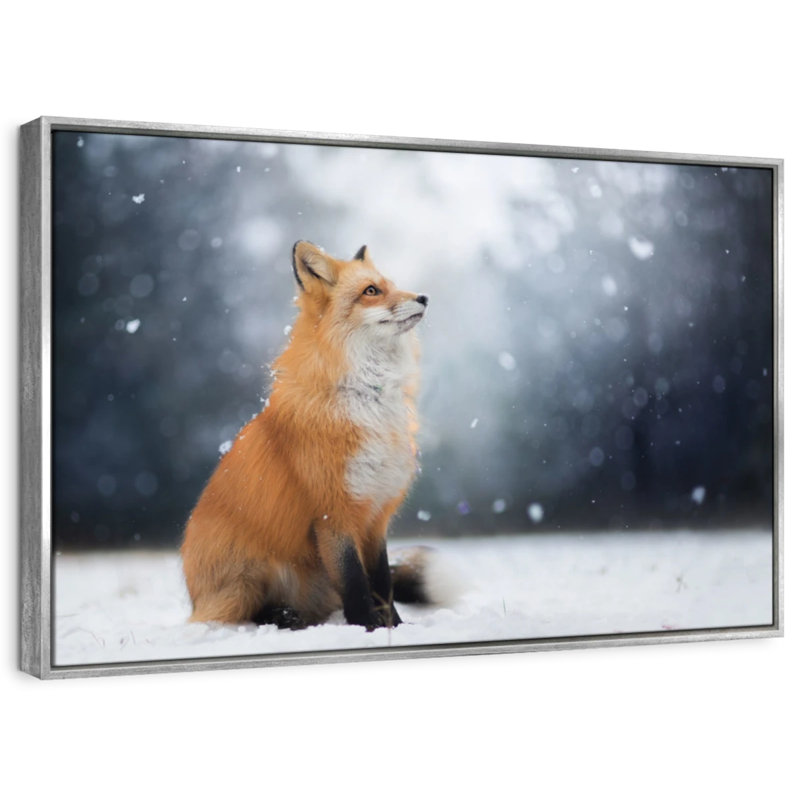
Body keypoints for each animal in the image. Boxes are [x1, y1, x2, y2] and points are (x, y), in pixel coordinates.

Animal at [181, 241, 430, 630]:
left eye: (391, 285)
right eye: (371, 291)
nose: (423, 297)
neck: (367, 397)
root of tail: (194, 598)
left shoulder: (375, 515)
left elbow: (382, 583)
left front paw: (396, 629)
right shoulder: (332, 514)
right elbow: (356, 583)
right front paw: (368, 629)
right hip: (248, 578)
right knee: (244, 614)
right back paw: (282, 617)